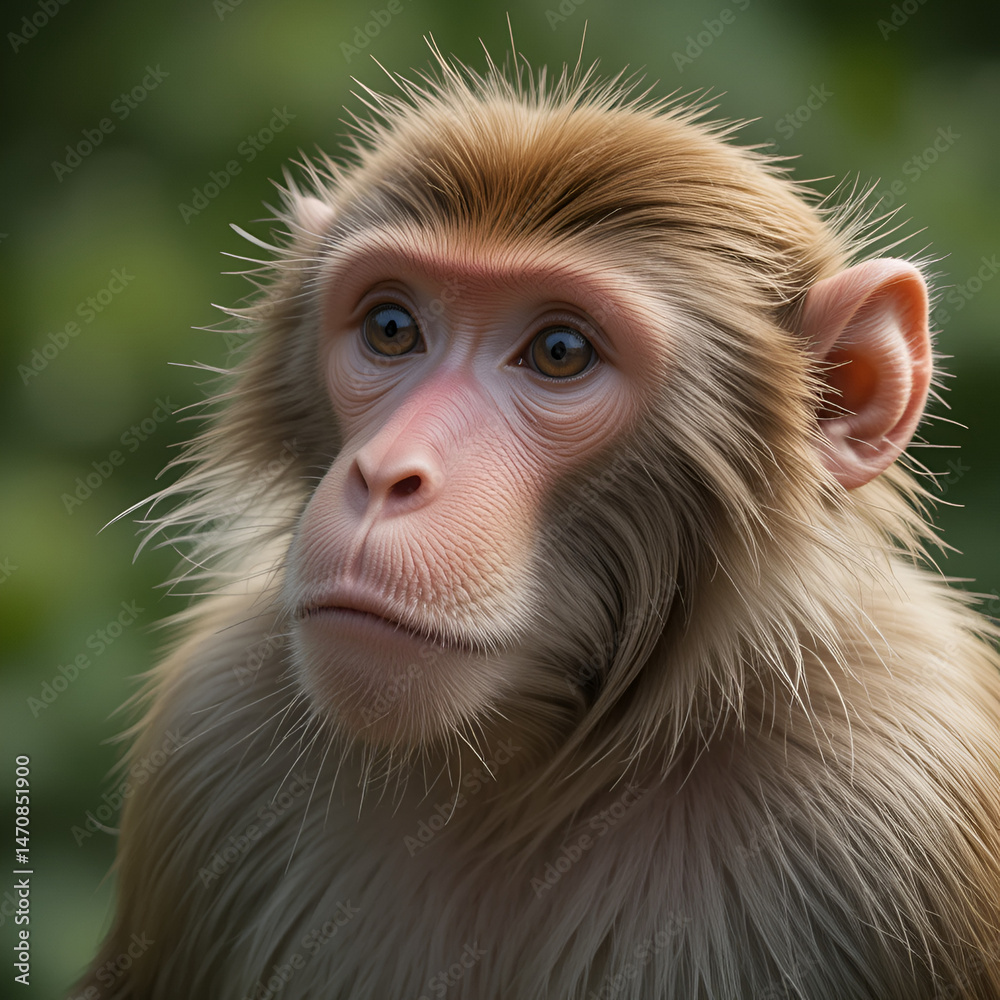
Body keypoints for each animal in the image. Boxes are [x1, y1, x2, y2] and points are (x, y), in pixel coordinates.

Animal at [73, 46, 1000, 1000]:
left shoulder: (907, 786)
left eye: (560, 353)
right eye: (392, 327)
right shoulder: (211, 731)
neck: (525, 770)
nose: (384, 474)